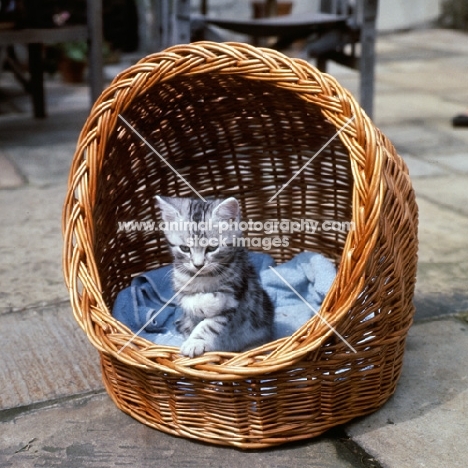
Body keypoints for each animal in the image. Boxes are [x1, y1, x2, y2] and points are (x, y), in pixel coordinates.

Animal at [157, 196, 274, 356]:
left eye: (212, 248)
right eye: (185, 248)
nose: (198, 265)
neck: (203, 277)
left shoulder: (236, 290)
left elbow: (211, 323)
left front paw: (195, 342)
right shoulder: (179, 286)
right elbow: (188, 301)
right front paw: (207, 302)